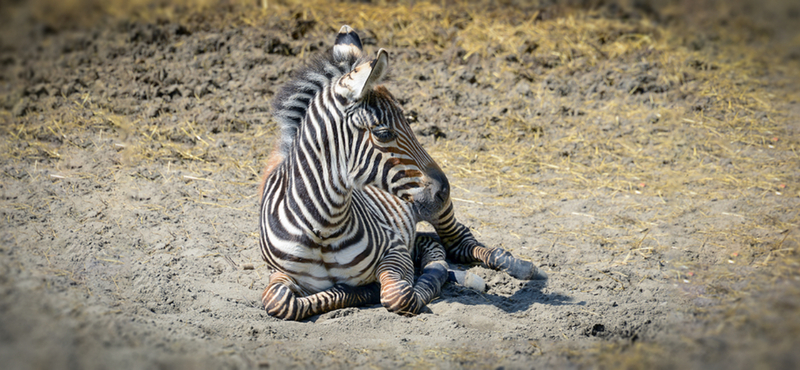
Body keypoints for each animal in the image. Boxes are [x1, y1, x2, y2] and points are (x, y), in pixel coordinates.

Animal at [260, 26, 548, 320]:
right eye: (383, 133)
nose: (445, 190)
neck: (323, 230)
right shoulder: (277, 272)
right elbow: (278, 301)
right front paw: (359, 291)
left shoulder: (395, 249)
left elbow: (400, 296)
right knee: (431, 241)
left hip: (437, 213)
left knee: (460, 242)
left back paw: (516, 266)